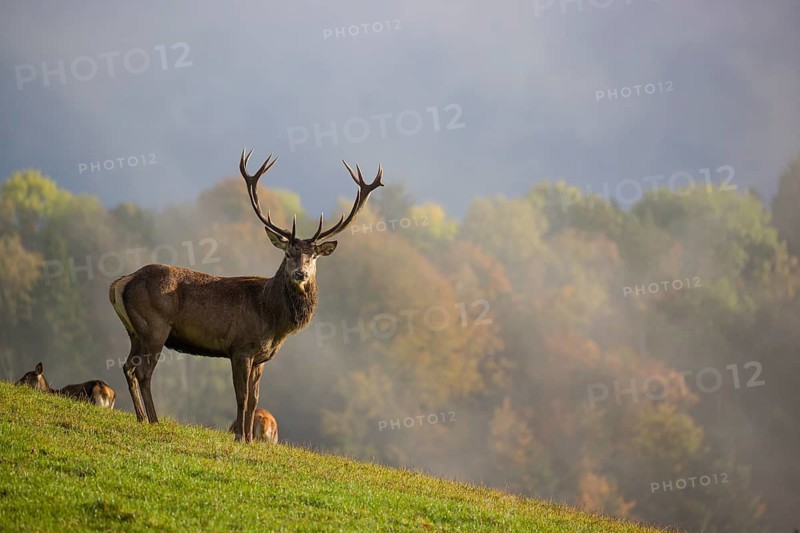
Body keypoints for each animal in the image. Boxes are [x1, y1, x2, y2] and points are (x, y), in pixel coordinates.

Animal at [109, 149, 383, 442]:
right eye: (289, 254)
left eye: (313, 257)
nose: (300, 274)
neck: (272, 320)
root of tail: (122, 281)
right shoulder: (239, 347)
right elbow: (241, 396)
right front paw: (240, 436)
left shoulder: (261, 357)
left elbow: (254, 398)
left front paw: (251, 438)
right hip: (155, 327)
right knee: (143, 371)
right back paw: (153, 420)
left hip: (135, 331)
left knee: (128, 366)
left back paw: (141, 417)